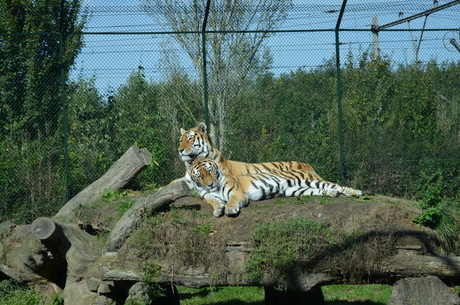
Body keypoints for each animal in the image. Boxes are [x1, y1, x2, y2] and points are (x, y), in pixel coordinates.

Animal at [189, 157, 362, 216]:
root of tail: (306, 168)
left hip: (310, 181)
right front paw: (218, 209)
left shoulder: (237, 193)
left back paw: (356, 192)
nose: (210, 183)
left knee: (337, 185)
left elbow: (231, 201)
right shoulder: (208, 196)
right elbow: (215, 202)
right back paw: (331, 194)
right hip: (295, 189)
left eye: (209, 170)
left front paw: (229, 209)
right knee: (324, 189)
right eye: (200, 175)